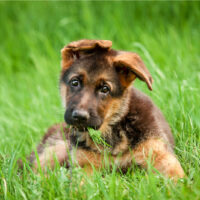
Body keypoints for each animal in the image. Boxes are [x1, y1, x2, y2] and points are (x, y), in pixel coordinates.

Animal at [27, 39, 184, 180]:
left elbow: (179, 178)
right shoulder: (83, 165)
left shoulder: (160, 154)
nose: (79, 116)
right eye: (75, 82)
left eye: (105, 89)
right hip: (58, 148)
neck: (111, 130)